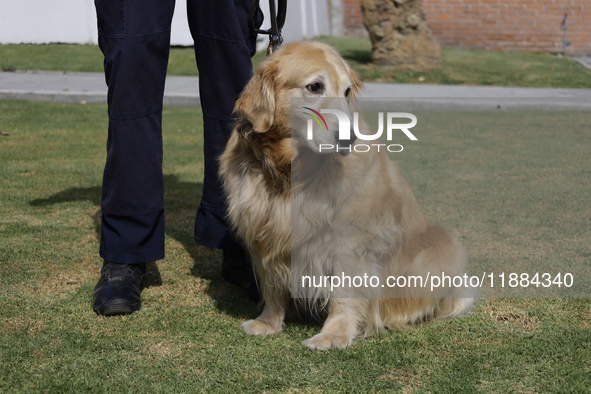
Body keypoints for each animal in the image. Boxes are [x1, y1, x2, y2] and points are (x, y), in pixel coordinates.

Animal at [220, 40, 474, 350]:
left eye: (347, 92)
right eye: (314, 87)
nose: (348, 139)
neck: (292, 171)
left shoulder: (351, 240)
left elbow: (345, 292)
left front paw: (334, 334)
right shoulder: (264, 230)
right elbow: (272, 284)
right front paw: (268, 321)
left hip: (439, 244)